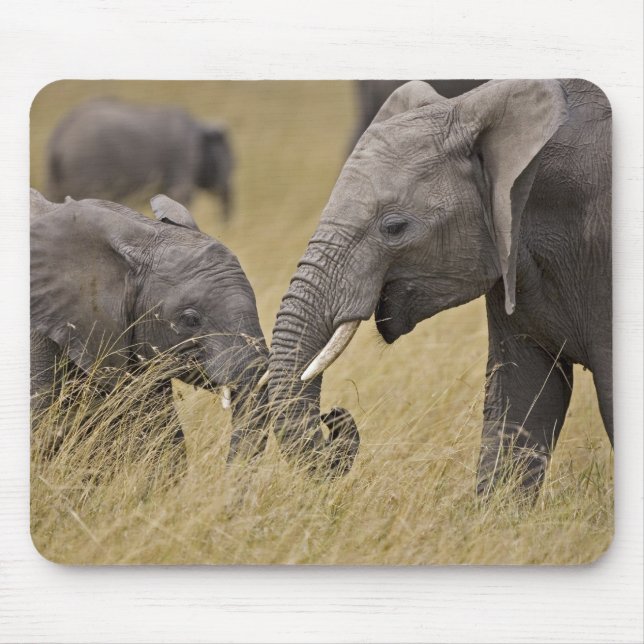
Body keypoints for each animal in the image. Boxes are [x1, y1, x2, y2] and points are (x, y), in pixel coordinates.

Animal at [45, 98, 234, 220]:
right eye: (233, 163)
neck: (201, 128)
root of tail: (57, 140)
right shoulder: (182, 156)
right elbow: (180, 196)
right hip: (87, 164)